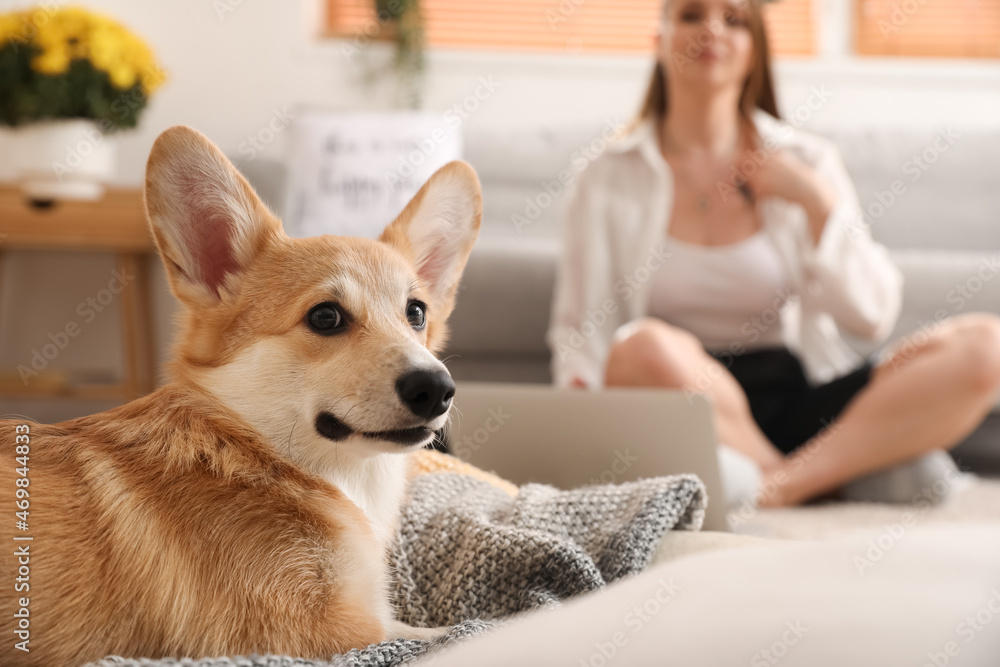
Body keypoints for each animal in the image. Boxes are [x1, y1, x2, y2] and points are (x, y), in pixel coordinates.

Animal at [0, 126, 482, 667]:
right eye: (326, 317)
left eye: (416, 313)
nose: (438, 389)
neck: (256, 450)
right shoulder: (328, 634)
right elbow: (445, 630)